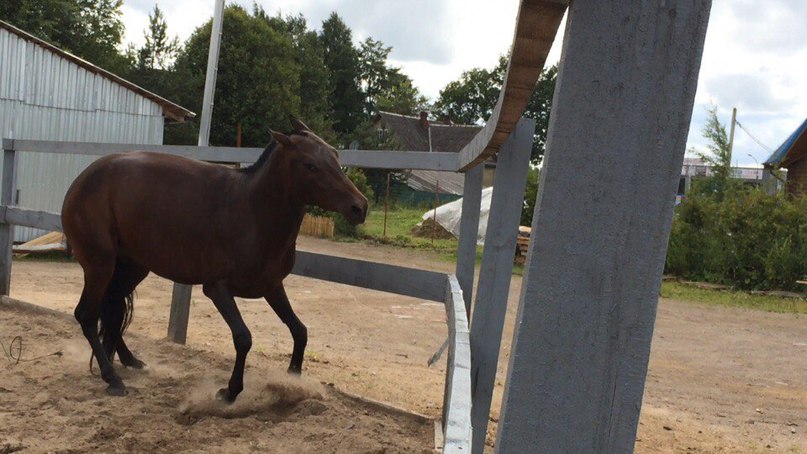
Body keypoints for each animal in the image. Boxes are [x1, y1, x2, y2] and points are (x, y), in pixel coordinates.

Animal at [61, 117, 368, 402]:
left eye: (335, 155)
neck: (253, 214)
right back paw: (112, 378)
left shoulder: (272, 286)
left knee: (113, 309)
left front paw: (292, 379)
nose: (360, 207)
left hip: (132, 268)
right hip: (100, 265)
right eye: (310, 165)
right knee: (87, 314)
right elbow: (243, 338)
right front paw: (229, 392)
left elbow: (299, 330)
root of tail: (82, 179)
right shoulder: (217, 288)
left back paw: (128, 361)